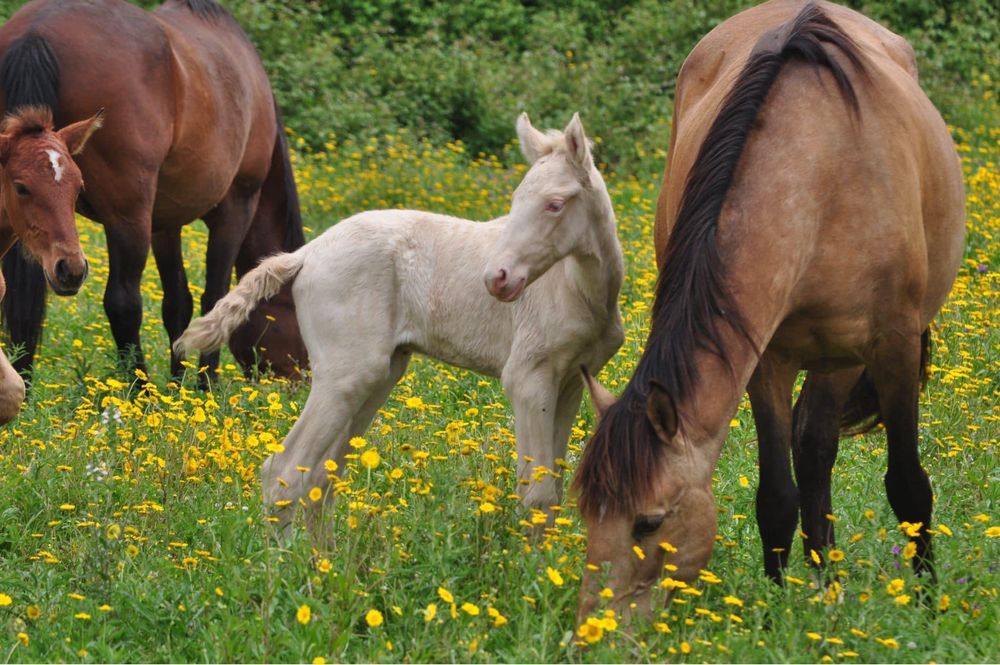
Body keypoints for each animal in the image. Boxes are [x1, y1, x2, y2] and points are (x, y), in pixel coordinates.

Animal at [0, 0, 306, 382]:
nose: (302, 376)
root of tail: (35, 32)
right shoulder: (238, 205)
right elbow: (215, 298)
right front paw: (206, 384)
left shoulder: (164, 221)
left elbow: (177, 302)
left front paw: (178, 383)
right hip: (128, 216)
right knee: (123, 301)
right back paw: (138, 386)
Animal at [176, 114, 620, 528]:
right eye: (515, 201)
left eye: (555, 204)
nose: (498, 278)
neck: (579, 288)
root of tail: (307, 253)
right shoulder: (527, 377)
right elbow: (537, 497)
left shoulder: (570, 382)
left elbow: (554, 494)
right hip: (347, 372)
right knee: (284, 472)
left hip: (380, 373)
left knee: (320, 477)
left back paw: (328, 563)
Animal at [576, 1, 964, 624]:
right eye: (587, 513)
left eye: (649, 521)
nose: (595, 631)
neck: (819, 178)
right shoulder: (765, 355)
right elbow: (776, 495)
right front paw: (777, 614)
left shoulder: (893, 346)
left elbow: (908, 484)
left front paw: (928, 607)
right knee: (812, 451)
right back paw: (825, 584)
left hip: (845, 356)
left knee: (820, 448)